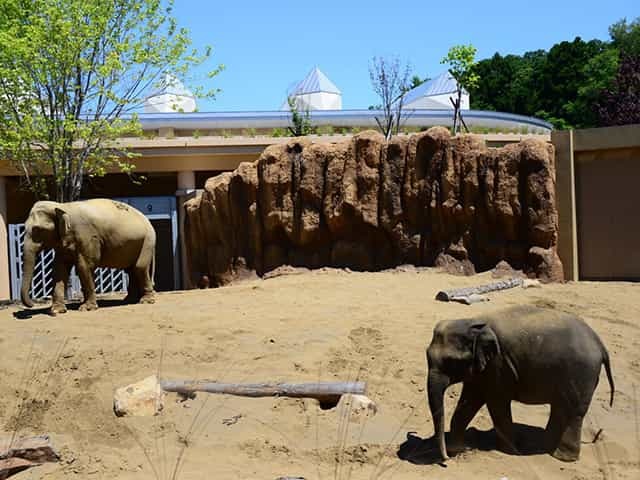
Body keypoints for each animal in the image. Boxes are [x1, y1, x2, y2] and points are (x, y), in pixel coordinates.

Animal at [21, 197, 156, 314]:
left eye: (37, 229)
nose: (32, 305)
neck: (63, 206)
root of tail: (148, 221)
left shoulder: (87, 236)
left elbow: (84, 266)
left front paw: (86, 308)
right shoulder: (63, 243)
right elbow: (60, 269)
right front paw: (57, 311)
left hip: (148, 240)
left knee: (139, 267)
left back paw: (146, 301)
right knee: (131, 270)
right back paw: (129, 300)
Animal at [424, 306, 616, 464]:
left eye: (452, 361)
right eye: (427, 355)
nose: (445, 460)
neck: (473, 321)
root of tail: (600, 344)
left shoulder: (498, 365)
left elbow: (496, 402)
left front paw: (511, 452)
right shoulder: (482, 370)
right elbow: (469, 401)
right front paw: (456, 449)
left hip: (581, 373)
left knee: (572, 412)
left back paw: (562, 457)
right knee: (560, 409)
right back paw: (545, 446)